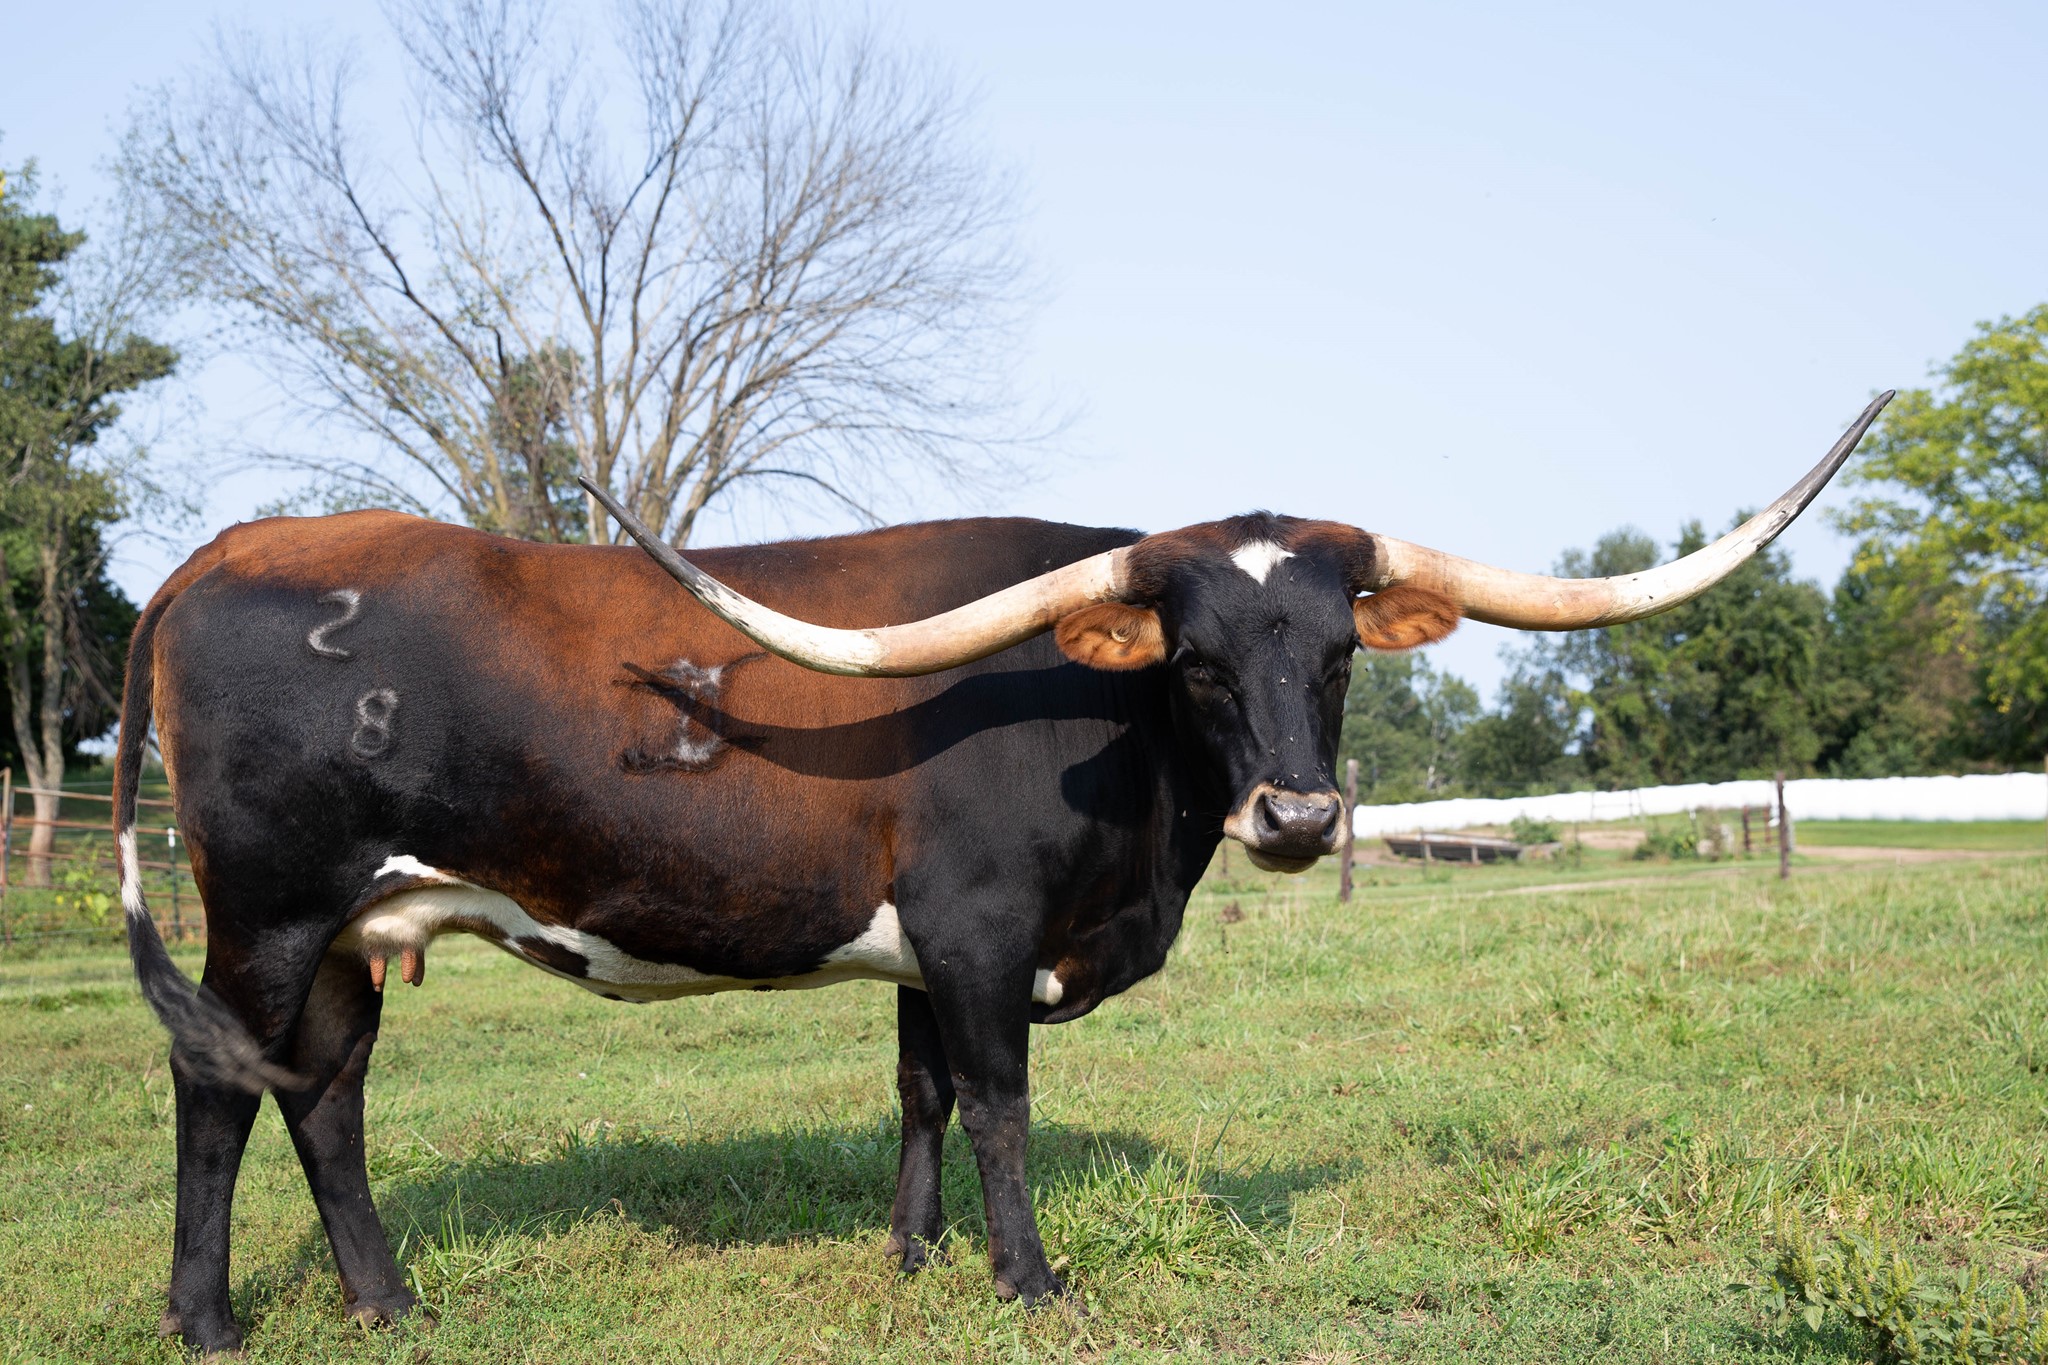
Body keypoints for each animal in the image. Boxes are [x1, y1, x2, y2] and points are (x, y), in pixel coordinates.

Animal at [118, 395, 1889, 1352]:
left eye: (1333, 655)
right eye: (1192, 662)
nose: (1298, 817)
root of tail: (224, 550)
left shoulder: (922, 945)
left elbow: (914, 1093)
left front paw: (908, 1259)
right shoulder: (980, 935)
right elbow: (996, 1103)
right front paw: (1027, 1277)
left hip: (356, 929)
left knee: (323, 1094)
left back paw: (388, 1304)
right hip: (267, 910)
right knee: (217, 1087)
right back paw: (206, 1318)